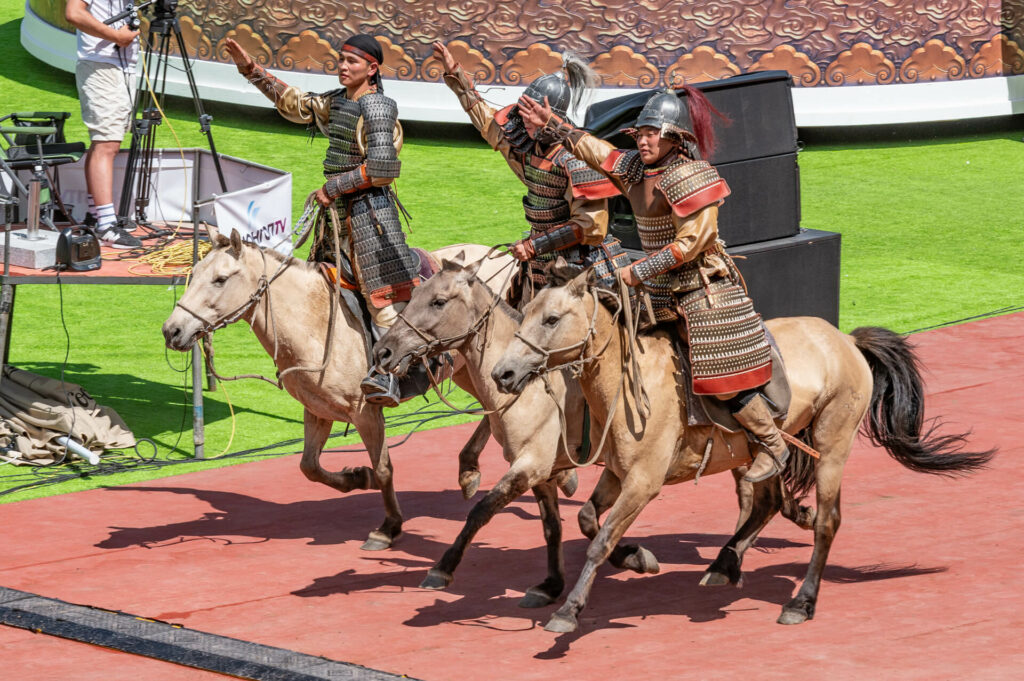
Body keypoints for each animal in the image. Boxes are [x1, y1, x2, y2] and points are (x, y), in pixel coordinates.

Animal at [162, 228, 512, 552]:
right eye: (194, 274)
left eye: (220, 279)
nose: (171, 330)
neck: (314, 325)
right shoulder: (317, 410)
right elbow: (309, 466)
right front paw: (357, 477)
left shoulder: (366, 412)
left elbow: (383, 468)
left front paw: (388, 527)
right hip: (467, 369)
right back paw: (468, 469)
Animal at [491, 266, 995, 630]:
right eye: (526, 311)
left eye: (551, 319)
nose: (503, 373)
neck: (629, 386)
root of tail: (846, 341)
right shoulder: (618, 474)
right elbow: (588, 520)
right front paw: (637, 559)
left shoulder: (644, 481)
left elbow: (599, 541)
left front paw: (568, 611)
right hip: (760, 455)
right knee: (767, 500)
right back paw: (725, 563)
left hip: (832, 446)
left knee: (826, 522)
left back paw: (801, 601)